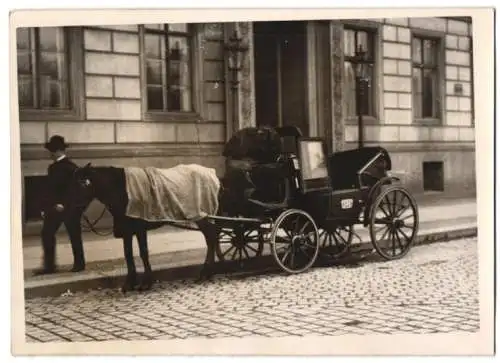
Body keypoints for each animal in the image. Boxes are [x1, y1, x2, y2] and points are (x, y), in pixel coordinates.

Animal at [66, 125, 286, 292]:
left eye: (81, 184)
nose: (67, 207)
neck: (123, 188)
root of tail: (215, 177)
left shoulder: (140, 227)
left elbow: (143, 253)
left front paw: (146, 282)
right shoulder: (127, 229)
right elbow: (129, 255)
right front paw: (130, 283)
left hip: (202, 215)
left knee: (211, 238)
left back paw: (206, 272)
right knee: (214, 238)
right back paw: (209, 271)